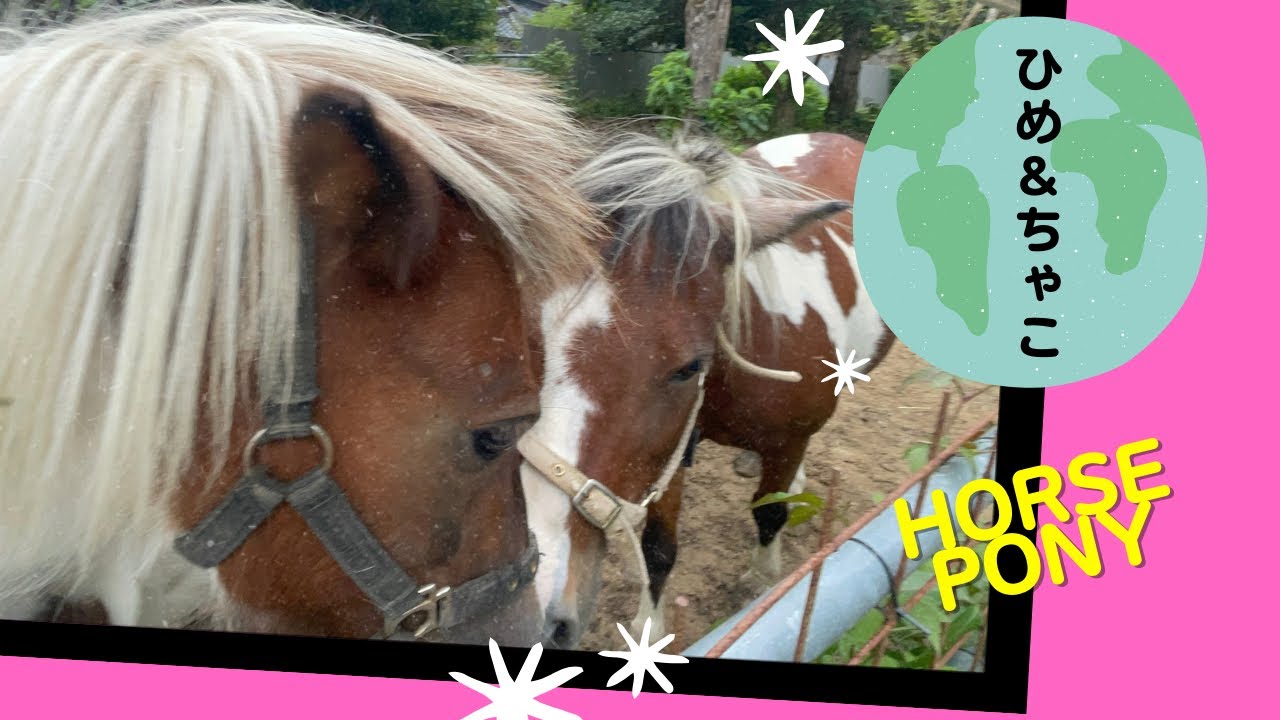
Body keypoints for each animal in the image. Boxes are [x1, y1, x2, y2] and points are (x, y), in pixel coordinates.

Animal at [517, 130, 894, 648]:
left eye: (688, 368)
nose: (536, 612)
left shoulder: (786, 439)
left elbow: (769, 515)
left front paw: (763, 581)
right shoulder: (672, 448)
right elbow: (658, 548)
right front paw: (649, 630)